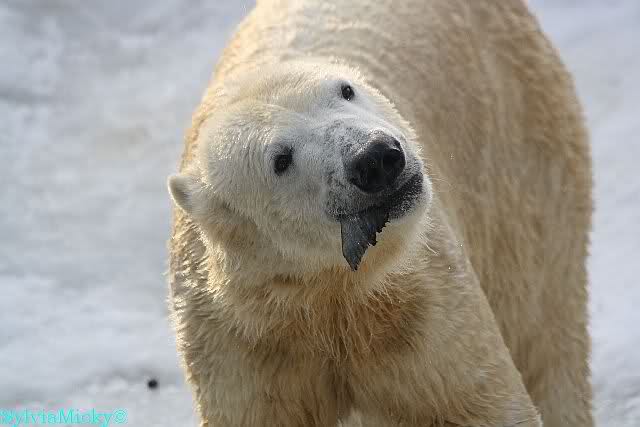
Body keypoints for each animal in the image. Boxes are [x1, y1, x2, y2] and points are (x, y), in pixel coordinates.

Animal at [167, 0, 593, 426]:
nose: (374, 158)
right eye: (281, 159)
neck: (326, 296)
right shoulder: (239, 345)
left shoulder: (421, 306)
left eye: (346, 90)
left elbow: (478, 402)